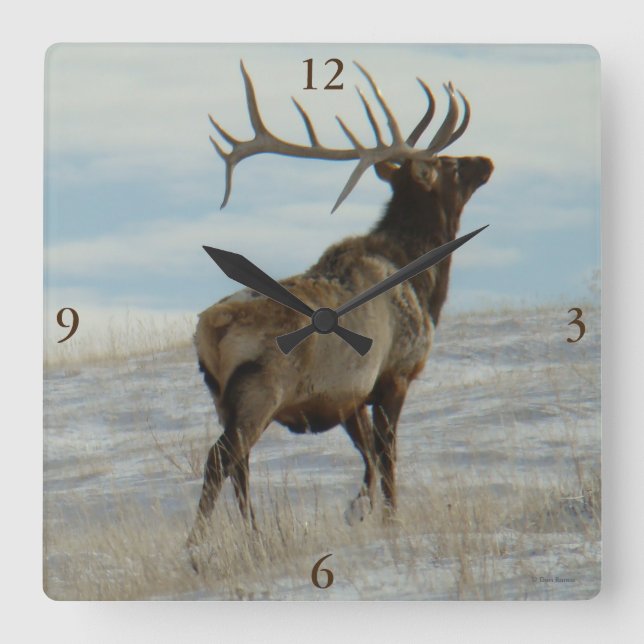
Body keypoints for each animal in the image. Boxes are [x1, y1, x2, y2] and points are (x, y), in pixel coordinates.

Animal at [187, 61, 493, 552]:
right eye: (448, 163)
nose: (485, 161)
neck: (423, 282)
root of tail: (210, 330)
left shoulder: (347, 394)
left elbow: (366, 453)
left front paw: (359, 509)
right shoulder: (394, 373)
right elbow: (386, 454)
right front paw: (388, 518)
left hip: (220, 395)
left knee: (240, 465)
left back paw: (255, 535)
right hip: (261, 389)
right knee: (222, 458)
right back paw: (196, 545)